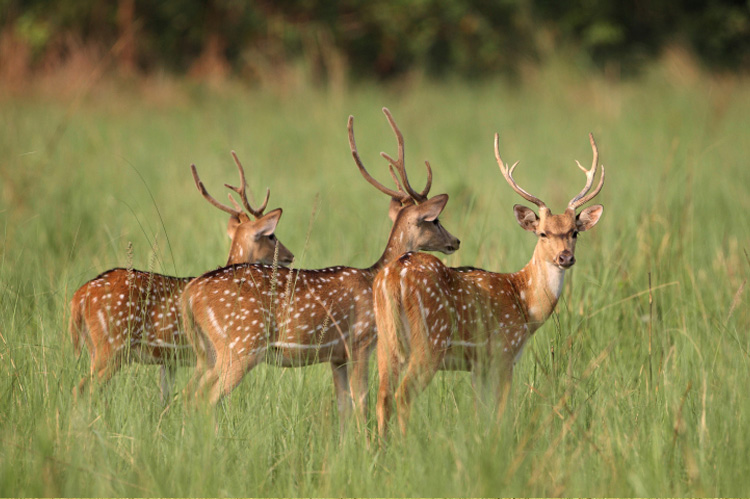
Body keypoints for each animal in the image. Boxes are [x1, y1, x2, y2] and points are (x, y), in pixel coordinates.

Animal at [69, 152, 294, 404]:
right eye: (271, 235)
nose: (290, 256)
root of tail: (78, 296)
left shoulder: (170, 362)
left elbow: (165, 400)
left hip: (95, 347)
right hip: (111, 346)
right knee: (81, 389)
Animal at [180, 108, 461, 431]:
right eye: (435, 220)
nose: (455, 241)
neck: (372, 277)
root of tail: (190, 293)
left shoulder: (336, 356)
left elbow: (344, 407)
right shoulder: (360, 341)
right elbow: (362, 402)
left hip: (208, 351)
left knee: (188, 395)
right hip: (241, 344)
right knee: (205, 398)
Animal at [373, 133, 605, 437]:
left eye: (575, 232)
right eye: (543, 233)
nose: (565, 257)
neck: (525, 304)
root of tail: (392, 277)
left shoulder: (478, 365)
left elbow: (479, 414)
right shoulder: (504, 352)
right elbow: (502, 412)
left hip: (386, 341)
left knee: (382, 397)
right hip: (430, 340)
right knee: (402, 395)